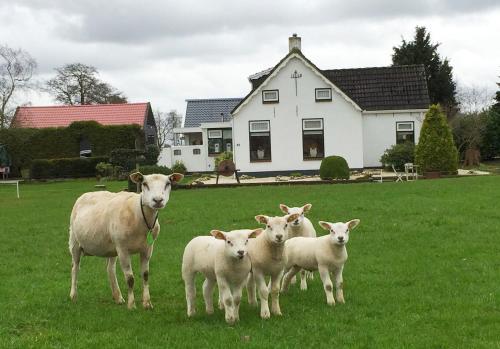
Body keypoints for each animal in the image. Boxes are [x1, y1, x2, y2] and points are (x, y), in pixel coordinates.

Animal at [67, 170, 183, 308]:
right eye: (144, 183)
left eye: (168, 183)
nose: (158, 200)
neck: (139, 216)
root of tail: (86, 194)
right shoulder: (123, 249)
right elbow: (130, 278)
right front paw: (132, 305)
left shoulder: (148, 248)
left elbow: (145, 275)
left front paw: (147, 303)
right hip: (75, 242)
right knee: (75, 268)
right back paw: (73, 296)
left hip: (111, 246)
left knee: (110, 269)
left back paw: (118, 297)